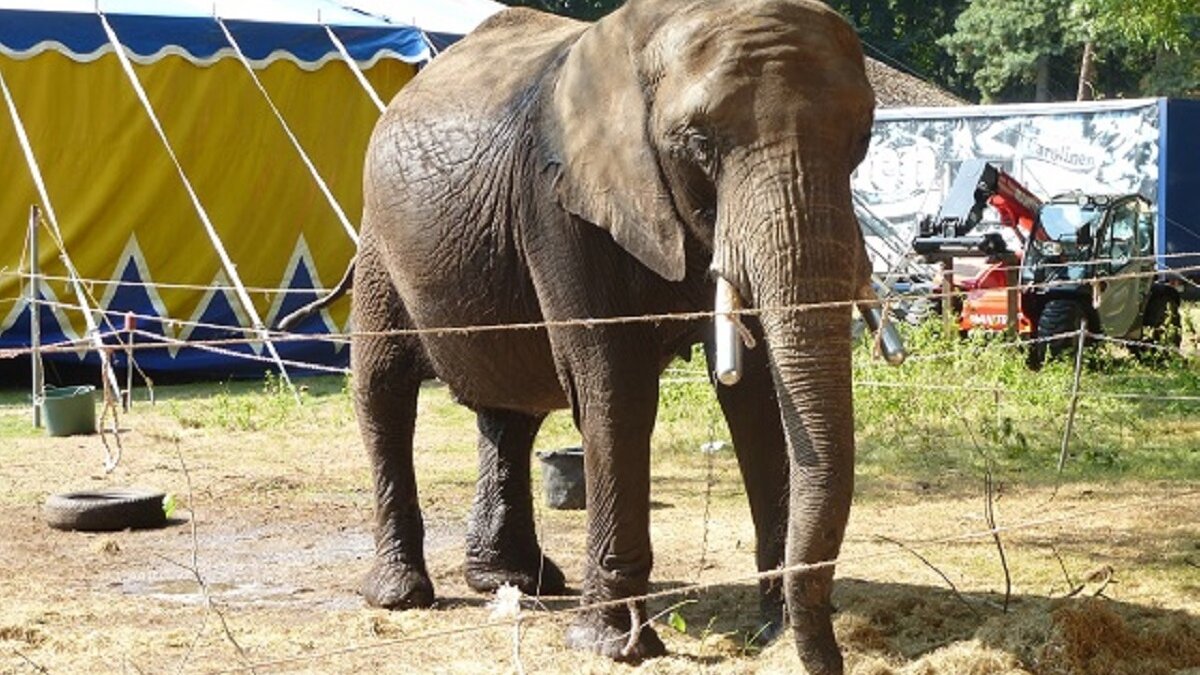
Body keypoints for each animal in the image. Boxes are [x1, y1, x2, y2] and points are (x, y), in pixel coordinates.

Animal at [296, 2, 878, 667]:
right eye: (699, 142)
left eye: (864, 136)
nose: (834, 657)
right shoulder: (557, 204)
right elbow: (615, 390)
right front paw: (614, 648)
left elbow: (754, 398)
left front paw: (777, 631)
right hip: (378, 245)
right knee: (384, 389)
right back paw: (400, 595)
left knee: (510, 411)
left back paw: (516, 582)